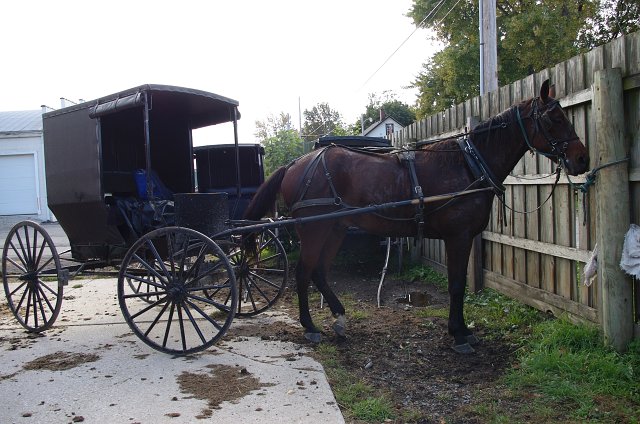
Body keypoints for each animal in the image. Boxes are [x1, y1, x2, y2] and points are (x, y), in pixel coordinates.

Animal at [244, 80, 592, 354]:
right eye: (555, 117)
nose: (582, 158)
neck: (469, 164)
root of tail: (295, 164)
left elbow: (458, 284)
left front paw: (463, 330)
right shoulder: (458, 237)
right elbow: (456, 285)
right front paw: (459, 335)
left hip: (335, 230)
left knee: (318, 273)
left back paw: (339, 319)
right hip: (315, 230)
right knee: (304, 273)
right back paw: (310, 326)